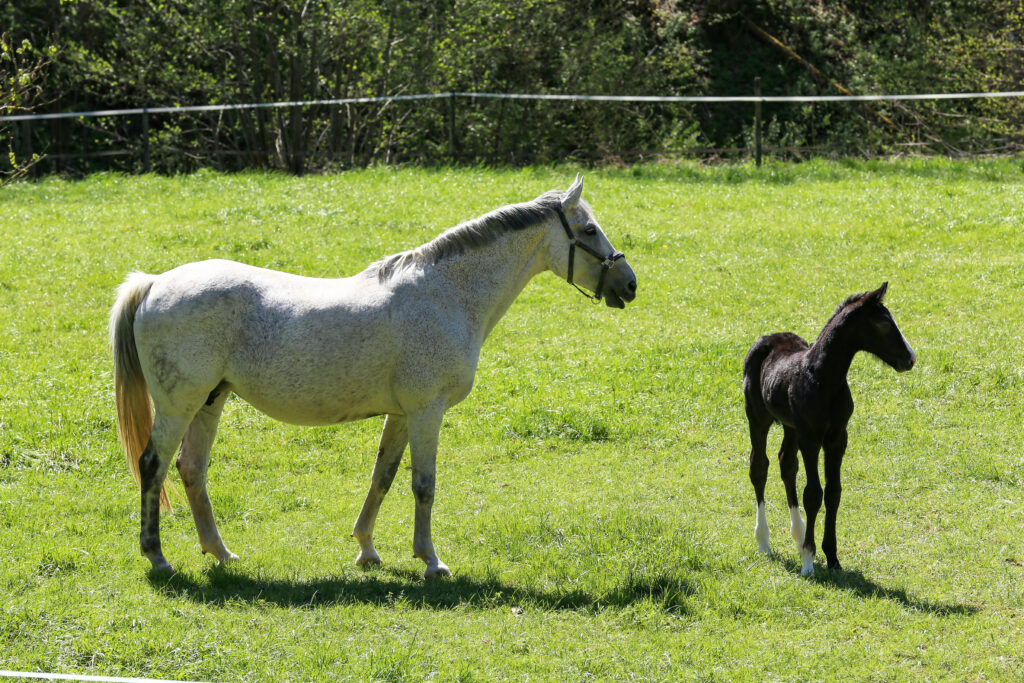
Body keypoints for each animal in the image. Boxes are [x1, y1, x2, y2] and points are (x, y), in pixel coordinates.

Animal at [109, 175, 637, 578]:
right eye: (589, 229)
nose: (630, 285)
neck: (446, 294)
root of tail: (154, 283)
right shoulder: (427, 411)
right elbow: (424, 484)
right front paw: (432, 562)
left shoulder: (401, 414)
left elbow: (382, 476)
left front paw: (367, 549)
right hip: (179, 405)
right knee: (153, 465)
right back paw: (158, 558)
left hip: (210, 401)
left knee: (191, 469)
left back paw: (221, 553)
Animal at [742, 283, 915, 576]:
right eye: (883, 322)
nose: (910, 358)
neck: (823, 379)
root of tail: (767, 338)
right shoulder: (811, 438)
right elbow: (813, 494)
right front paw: (809, 561)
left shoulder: (837, 438)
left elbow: (834, 492)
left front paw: (832, 557)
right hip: (758, 418)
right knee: (759, 467)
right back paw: (764, 542)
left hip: (790, 427)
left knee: (786, 464)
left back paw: (798, 536)